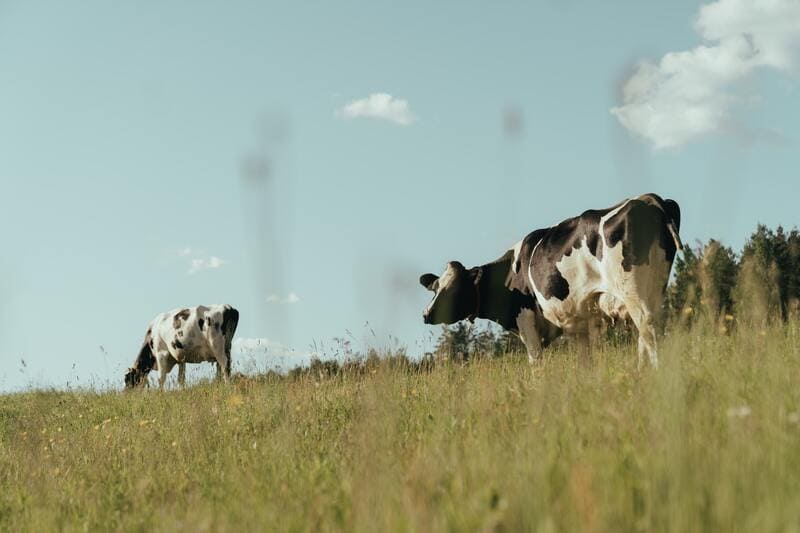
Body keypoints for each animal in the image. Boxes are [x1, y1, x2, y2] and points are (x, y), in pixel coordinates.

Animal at [418, 193, 680, 368]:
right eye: (435, 288)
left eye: (453, 289)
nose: (426, 314)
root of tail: (649, 199)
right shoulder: (579, 321)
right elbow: (585, 360)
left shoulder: (525, 318)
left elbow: (536, 361)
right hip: (655, 287)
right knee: (646, 332)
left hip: (633, 291)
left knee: (649, 330)